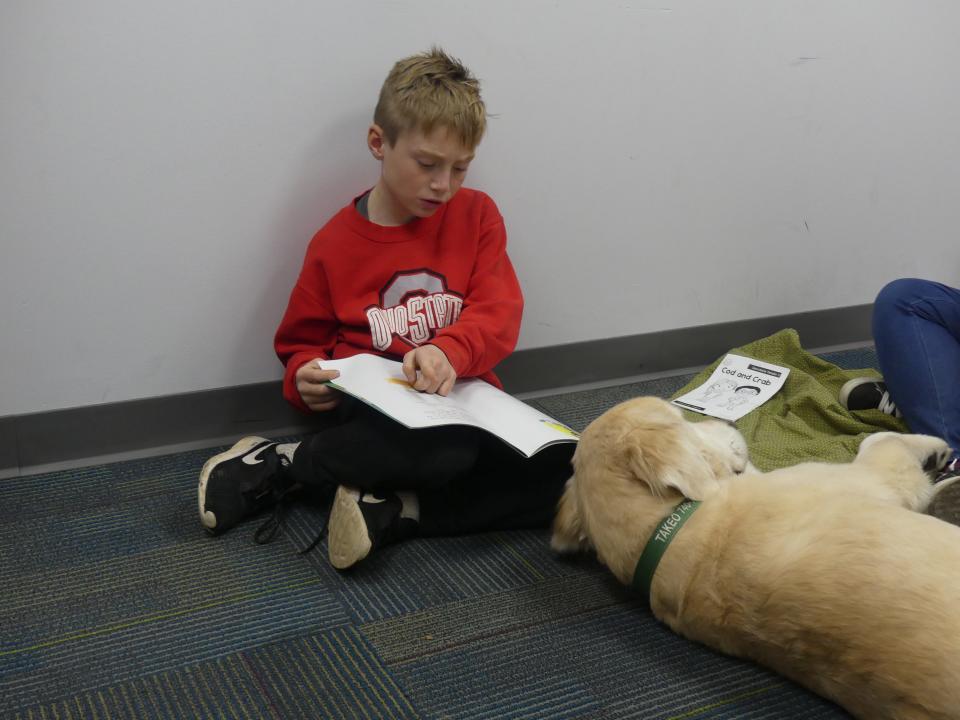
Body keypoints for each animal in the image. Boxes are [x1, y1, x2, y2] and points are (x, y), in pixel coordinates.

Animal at [552, 396, 960, 716]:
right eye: (682, 418)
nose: (732, 419)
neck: (669, 527)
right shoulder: (872, 479)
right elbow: (880, 441)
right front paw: (935, 447)